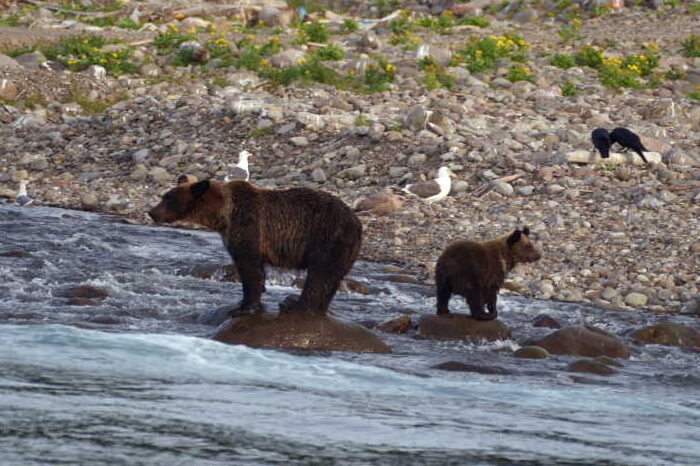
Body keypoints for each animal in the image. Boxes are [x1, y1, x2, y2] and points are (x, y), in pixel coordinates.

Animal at [150, 178, 364, 316]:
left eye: (167, 198)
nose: (151, 212)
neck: (223, 215)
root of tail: (358, 223)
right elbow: (257, 270)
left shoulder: (248, 224)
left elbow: (249, 266)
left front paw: (242, 307)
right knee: (331, 279)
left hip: (326, 238)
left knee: (320, 275)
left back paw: (295, 304)